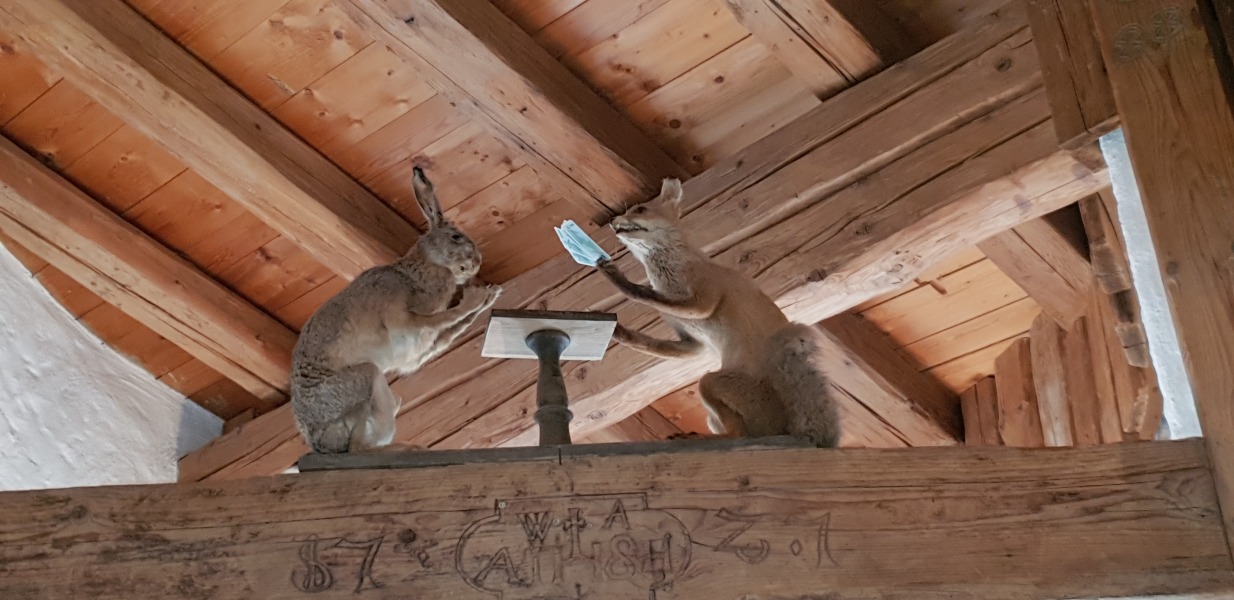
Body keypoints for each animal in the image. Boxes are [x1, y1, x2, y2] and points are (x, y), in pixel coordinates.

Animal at [290, 166, 501, 454]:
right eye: (456, 237)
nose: (477, 262)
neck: (418, 269)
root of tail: (318, 442)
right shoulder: (404, 322)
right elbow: (447, 316)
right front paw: (478, 297)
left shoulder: (420, 349)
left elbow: (450, 331)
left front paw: (490, 296)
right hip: (364, 378)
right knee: (358, 449)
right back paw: (409, 448)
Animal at [594, 179, 840, 447]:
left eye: (640, 209)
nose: (612, 220)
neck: (672, 276)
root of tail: (790, 428)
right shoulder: (692, 341)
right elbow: (649, 344)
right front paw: (616, 333)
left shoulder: (703, 300)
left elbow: (645, 294)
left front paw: (618, 279)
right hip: (714, 411)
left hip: (709, 383)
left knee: (738, 435)